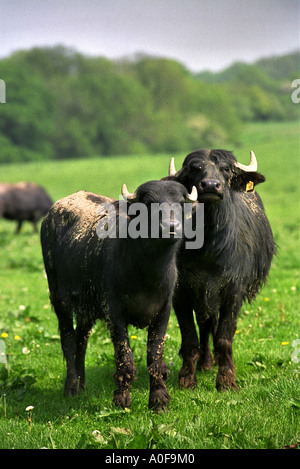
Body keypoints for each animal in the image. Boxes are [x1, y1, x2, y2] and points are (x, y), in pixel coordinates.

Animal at [41, 179, 198, 410]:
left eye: (179, 203)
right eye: (149, 203)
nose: (171, 227)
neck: (147, 273)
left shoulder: (164, 311)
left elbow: (155, 357)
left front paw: (159, 400)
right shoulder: (114, 312)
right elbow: (125, 357)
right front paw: (122, 399)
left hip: (86, 308)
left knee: (81, 340)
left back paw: (82, 384)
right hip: (59, 298)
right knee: (68, 340)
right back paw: (70, 387)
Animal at [165, 148, 276, 390]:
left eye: (225, 169)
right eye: (194, 168)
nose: (210, 185)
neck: (209, 248)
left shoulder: (233, 292)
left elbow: (225, 338)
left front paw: (226, 380)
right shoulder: (182, 293)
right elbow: (190, 338)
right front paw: (186, 378)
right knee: (205, 325)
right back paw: (205, 363)